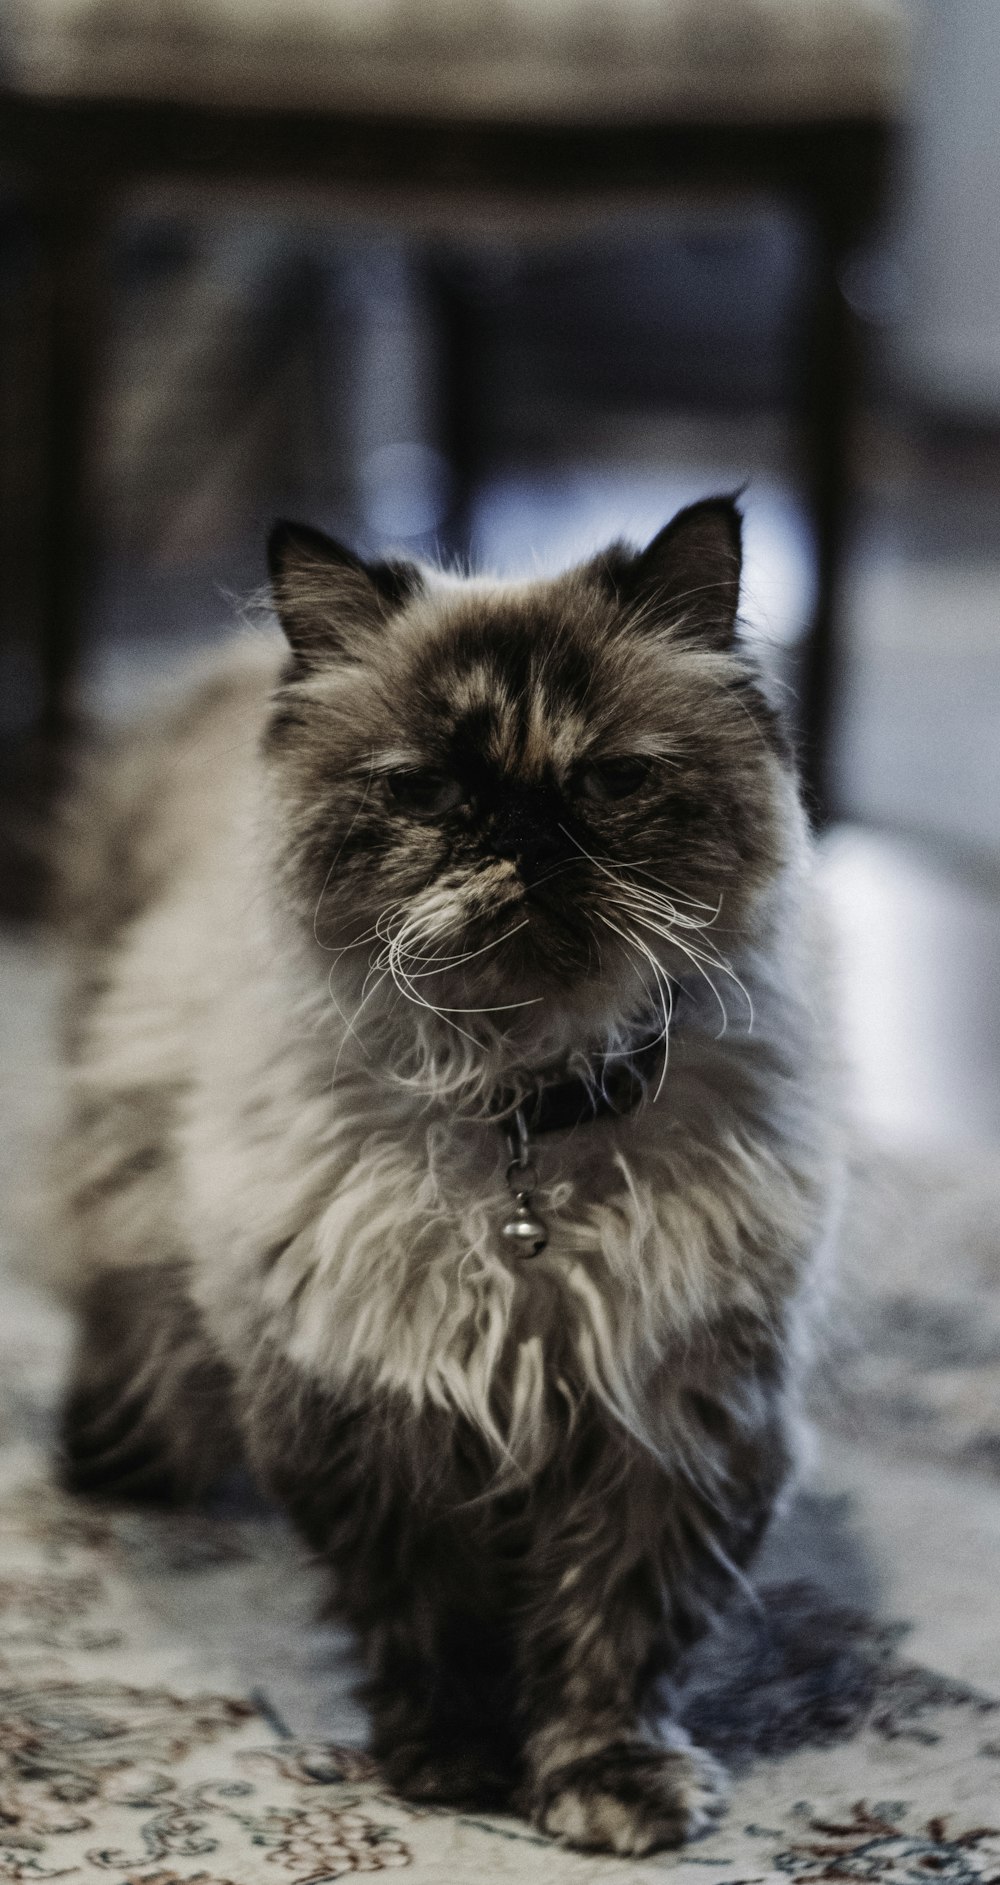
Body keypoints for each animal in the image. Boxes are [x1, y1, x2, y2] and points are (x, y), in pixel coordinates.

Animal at [52, 497, 836, 1854]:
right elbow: (434, 1614)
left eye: (610, 781)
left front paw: (603, 1782)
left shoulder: (675, 1415)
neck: (526, 1117)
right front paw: (456, 1765)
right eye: (422, 791)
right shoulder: (374, 1407)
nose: (520, 840)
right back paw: (116, 1452)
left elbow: (617, 1635)